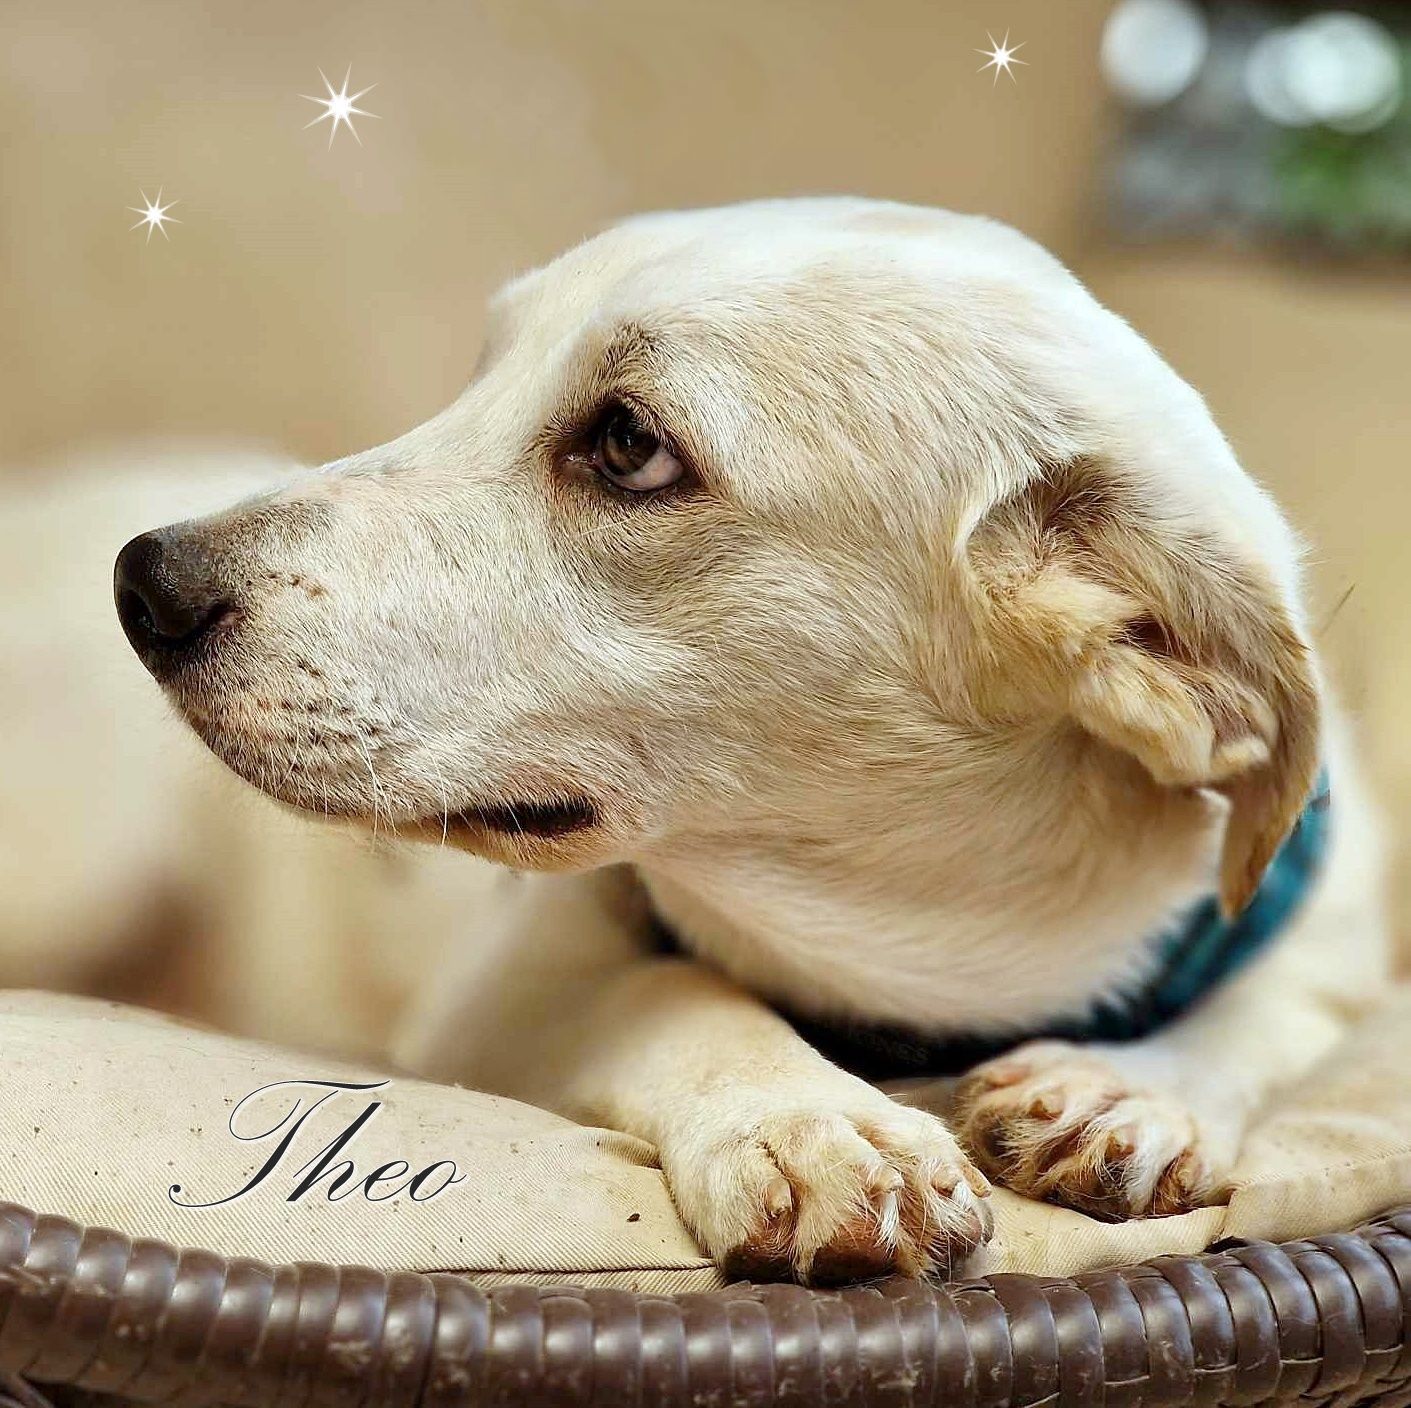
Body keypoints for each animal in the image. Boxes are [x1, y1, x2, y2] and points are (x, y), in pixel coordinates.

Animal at [114, 198, 1388, 1284]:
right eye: (478, 378)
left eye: (629, 444)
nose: (145, 585)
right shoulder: (500, 987)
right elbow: (666, 985)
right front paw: (805, 1118)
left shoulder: (1332, 934)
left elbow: (1280, 1009)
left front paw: (1132, 1092)